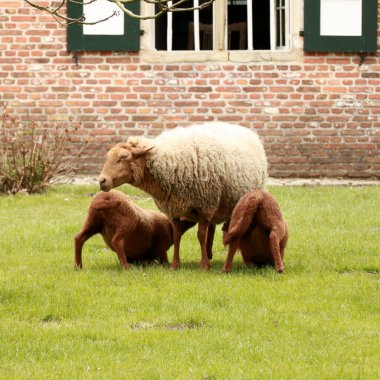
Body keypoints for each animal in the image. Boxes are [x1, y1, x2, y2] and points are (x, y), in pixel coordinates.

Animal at [99, 121, 268, 270]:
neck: (169, 162)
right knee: (212, 227)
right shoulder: (173, 207)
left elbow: (200, 234)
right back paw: (208, 253)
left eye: (123, 157)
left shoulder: (204, 204)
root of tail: (243, 128)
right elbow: (176, 235)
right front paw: (175, 265)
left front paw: (204, 266)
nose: (102, 180)